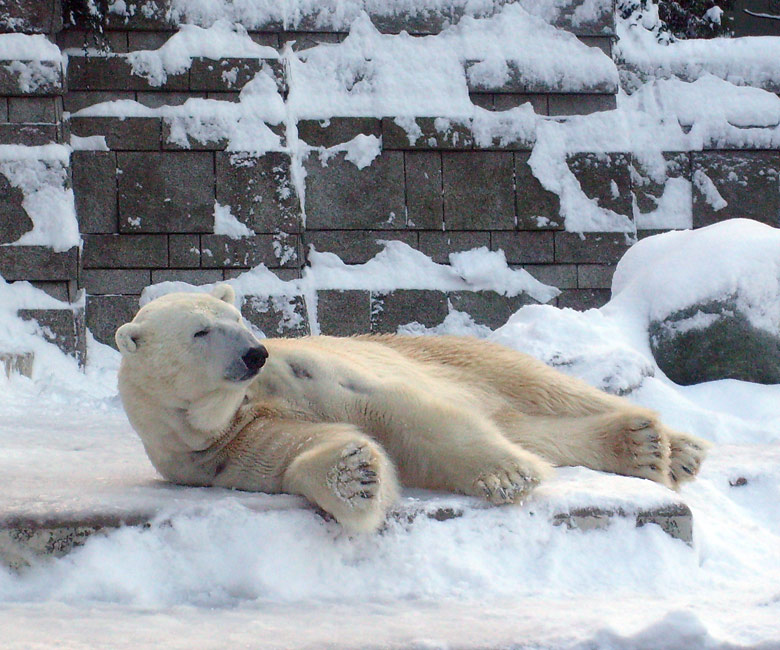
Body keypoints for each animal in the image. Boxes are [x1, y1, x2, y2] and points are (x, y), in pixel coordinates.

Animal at [117, 284, 712, 532]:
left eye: (236, 318)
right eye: (200, 330)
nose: (254, 352)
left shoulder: (307, 371)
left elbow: (393, 410)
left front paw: (505, 477)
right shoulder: (221, 449)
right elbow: (304, 451)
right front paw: (355, 475)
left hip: (451, 355)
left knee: (546, 388)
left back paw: (677, 447)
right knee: (532, 428)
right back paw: (641, 447)